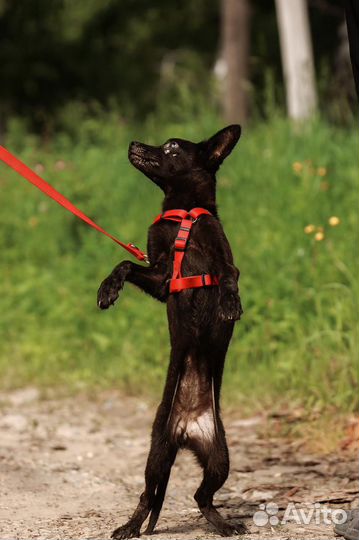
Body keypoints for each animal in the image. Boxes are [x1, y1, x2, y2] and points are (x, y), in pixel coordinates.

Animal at [97, 124, 246, 536]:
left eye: (172, 147)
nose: (133, 142)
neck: (182, 214)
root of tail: (187, 430)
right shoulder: (162, 277)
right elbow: (125, 264)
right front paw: (107, 289)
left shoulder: (222, 258)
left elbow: (228, 277)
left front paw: (230, 304)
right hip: (157, 453)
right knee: (148, 495)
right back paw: (130, 526)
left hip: (220, 458)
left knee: (202, 496)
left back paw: (223, 524)